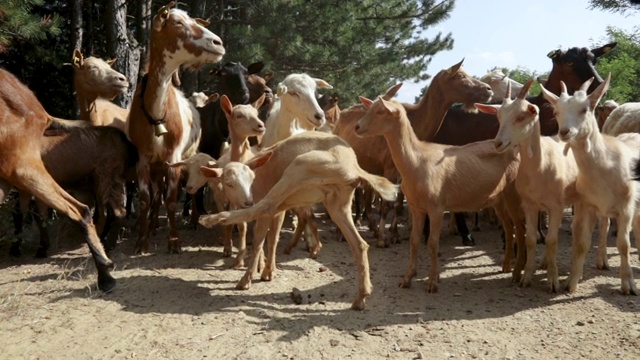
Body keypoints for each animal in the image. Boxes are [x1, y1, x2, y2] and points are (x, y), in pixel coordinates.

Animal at [202, 132, 398, 310]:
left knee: (265, 206)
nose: (247, 201)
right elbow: (271, 238)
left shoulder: (269, 208)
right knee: (359, 245)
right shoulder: (279, 210)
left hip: (298, 169)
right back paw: (360, 298)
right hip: (337, 202)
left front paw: (254, 275)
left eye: (251, 178)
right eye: (229, 183)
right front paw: (267, 270)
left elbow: (259, 240)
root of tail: (353, 167)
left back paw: (212, 220)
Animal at [356, 93, 524, 292]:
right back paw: (506, 265)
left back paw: (517, 269)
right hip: (498, 198)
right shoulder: (417, 207)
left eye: (381, 111)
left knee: (519, 225)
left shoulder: (436, 208)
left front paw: (432, 282)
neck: (416, 161)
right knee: (508, 225)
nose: (357, 127)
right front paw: (407, 278)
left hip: (513, 193)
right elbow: (414, 241)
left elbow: (433, 243)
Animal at [472, 79, 584, 292]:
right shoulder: (530, 205)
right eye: (498, 116)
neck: (541, 166)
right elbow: (532, 238)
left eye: (521, 116)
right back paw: (546, 263)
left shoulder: (557, 206)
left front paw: (553, 281)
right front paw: (526, 277)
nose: (498, 143)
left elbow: (551, 240)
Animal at [540, 75, 640, 296]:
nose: (565, 132)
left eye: (584, 109)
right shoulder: (588, 205)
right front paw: (571, 282)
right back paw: (602, 260)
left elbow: (623, 244)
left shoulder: (626, 206)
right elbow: (583, 243)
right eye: (556, 111)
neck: (605, 166)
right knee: (606, 226)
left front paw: (628, 284)